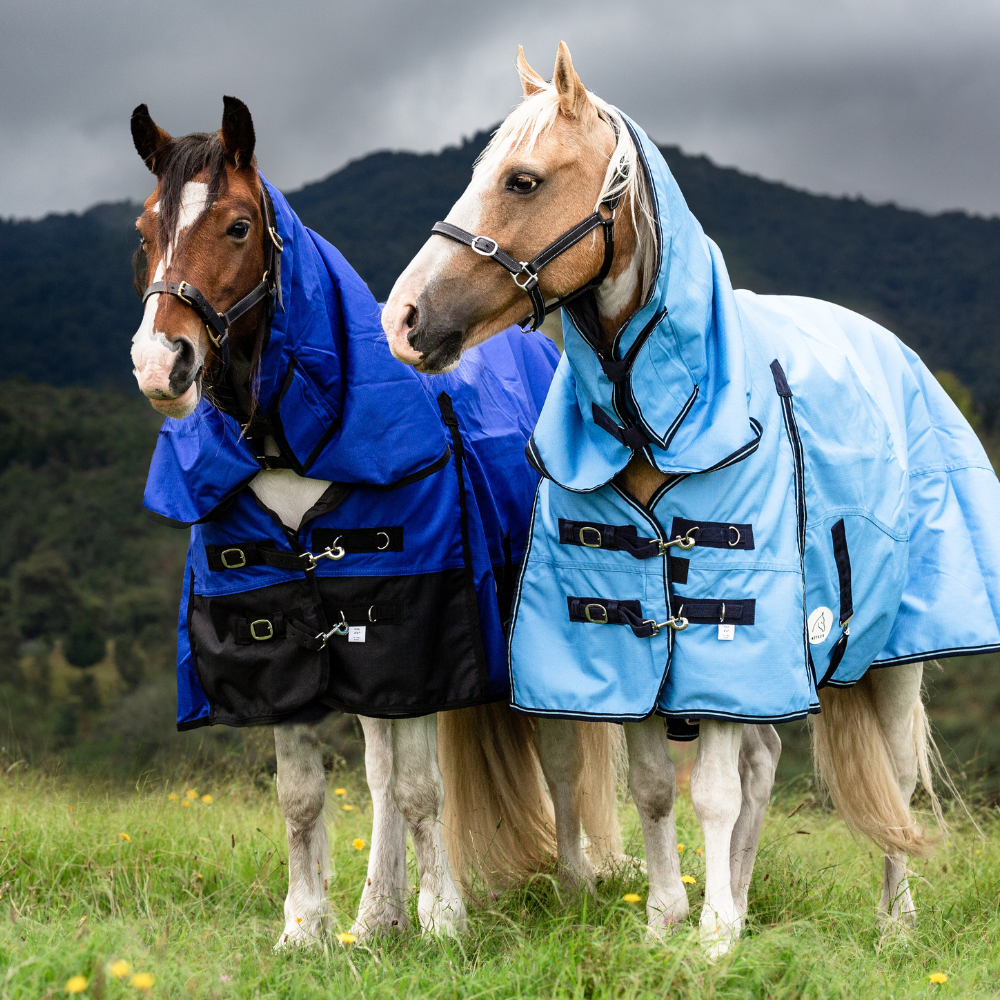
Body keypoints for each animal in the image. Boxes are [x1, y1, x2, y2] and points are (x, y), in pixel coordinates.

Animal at [125, 96, 623, 946]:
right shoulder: (285, 641)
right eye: (145, 229)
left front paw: (447, 921)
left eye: (236, 226)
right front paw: (307, 928)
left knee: (557, 760)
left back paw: (572, 884)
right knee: (383, 774)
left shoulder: (415, 629)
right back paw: (378, 913)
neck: (294, 445)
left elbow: (425, 788)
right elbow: (306, 795)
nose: (163, 364)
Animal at [382, 43, 1000, 957]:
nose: (404, 319)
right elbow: (653, 787)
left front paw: (710, 938)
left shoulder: (724, 630)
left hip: (896, 659)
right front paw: (672, 918)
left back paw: (895, 922)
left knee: (889, 781)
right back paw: (738, 893)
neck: (665, 416)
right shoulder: (639, 634)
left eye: (522, 181)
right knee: (765, 765)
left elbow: (712, 791)